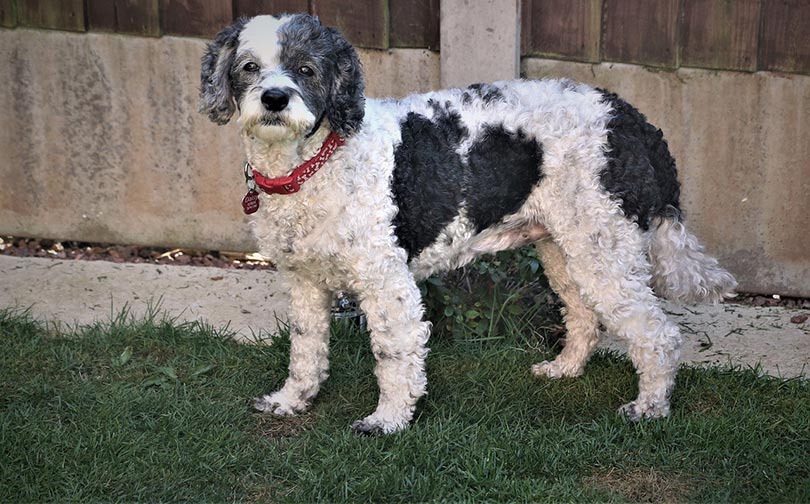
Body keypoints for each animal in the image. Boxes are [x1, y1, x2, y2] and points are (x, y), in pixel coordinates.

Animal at [199, 14, 736, 434]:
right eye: (249, 67)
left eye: (306, 69)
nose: (273, 98)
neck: (317, 162)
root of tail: (633, 120)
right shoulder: (304, 282)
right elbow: (305, 351)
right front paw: (292, 401)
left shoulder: (386, 284)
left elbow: (394, 356)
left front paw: (388, 421)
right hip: (565, 248)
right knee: (583, 315)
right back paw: (564, 369)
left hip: (605, 251)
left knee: (658, 335)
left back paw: (650, 408)